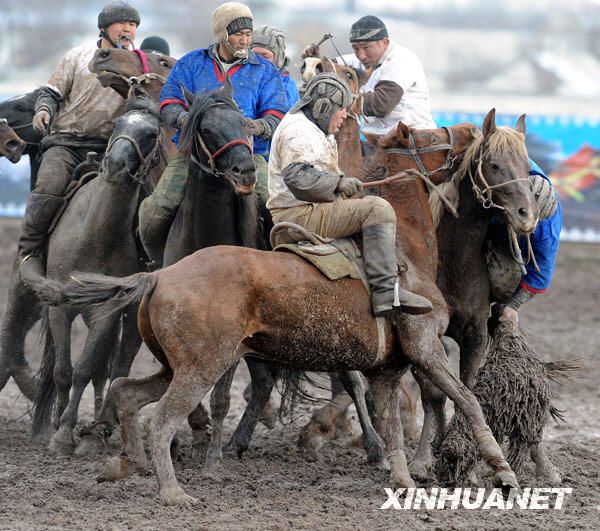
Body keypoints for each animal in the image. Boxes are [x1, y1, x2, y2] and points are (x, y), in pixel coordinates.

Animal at [28, 84, 168, 454]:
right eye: (118, 123)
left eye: (151, 134)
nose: (116, 165)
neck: (93, 236)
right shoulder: (60, 307)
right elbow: (63, 370)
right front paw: (58, 429)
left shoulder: (107, 313)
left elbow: (85, 369)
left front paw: (70, 432)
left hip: (127, 318)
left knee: (113, 366)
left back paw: (100, 426)